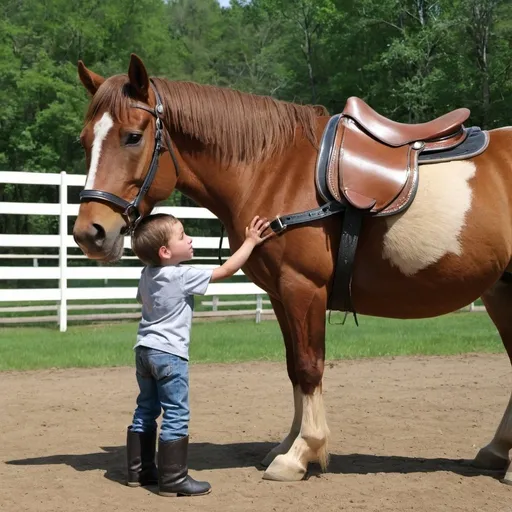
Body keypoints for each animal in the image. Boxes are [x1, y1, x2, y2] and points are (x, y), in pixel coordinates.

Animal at [71, 54, 512, 482]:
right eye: (85, 140)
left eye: (133, 136)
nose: (89, 233)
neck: (275, 170)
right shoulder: (281, 295)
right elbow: (293, 369)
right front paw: (288, 444)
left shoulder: (304, 288)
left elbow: (309, 365)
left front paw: (301, 453)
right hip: (499, 292)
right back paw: (497, 453)